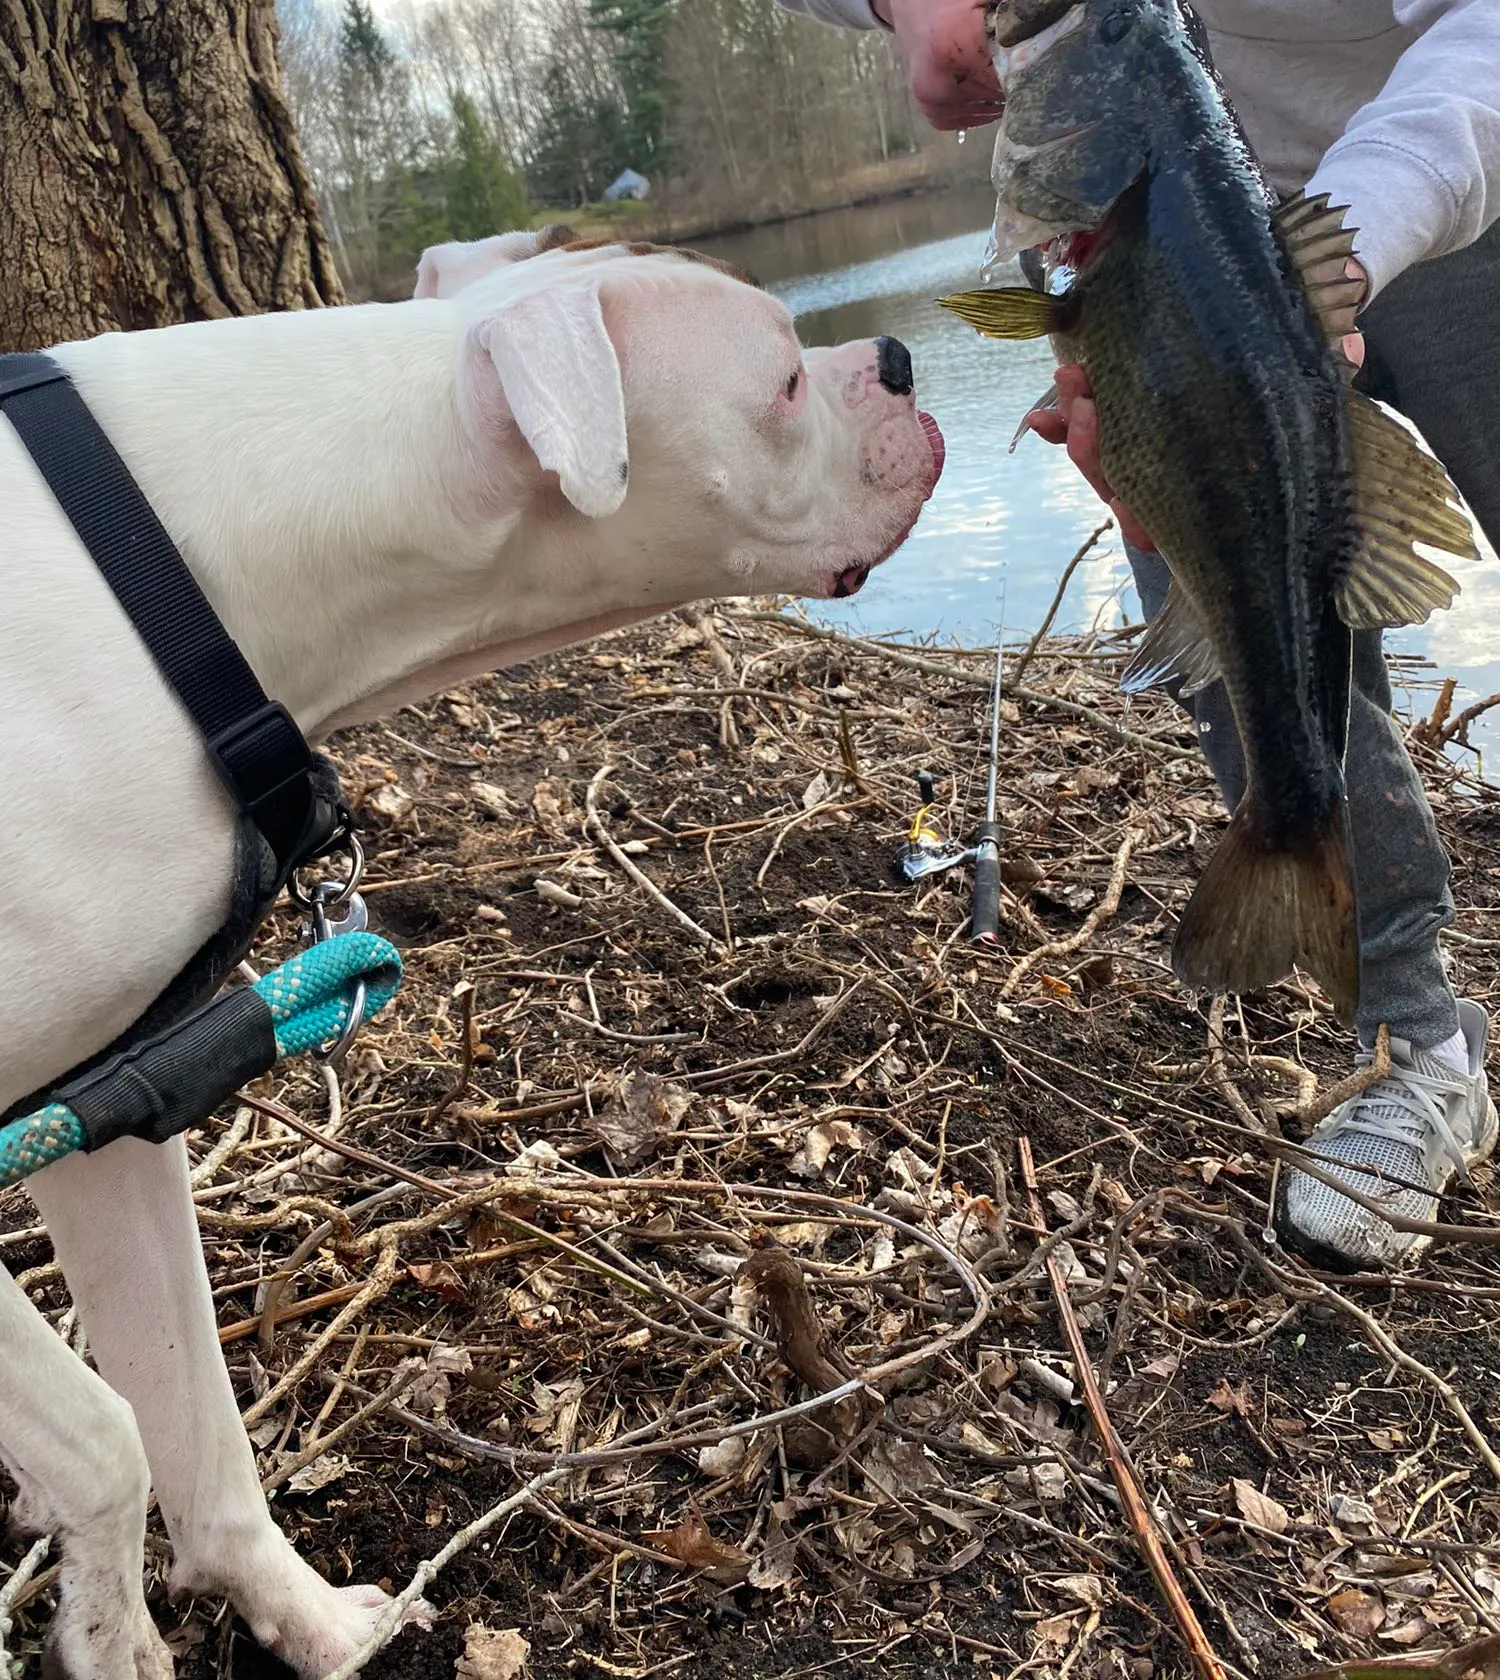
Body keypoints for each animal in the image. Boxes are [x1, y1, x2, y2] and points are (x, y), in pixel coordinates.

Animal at [0, 226, 933, 1680]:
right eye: (784, 379)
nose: (895, 356)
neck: (179, 571)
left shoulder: (104, 1107)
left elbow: (186, 1420)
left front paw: (305, 1625)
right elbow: (105, 1440)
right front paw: (113, 1635)